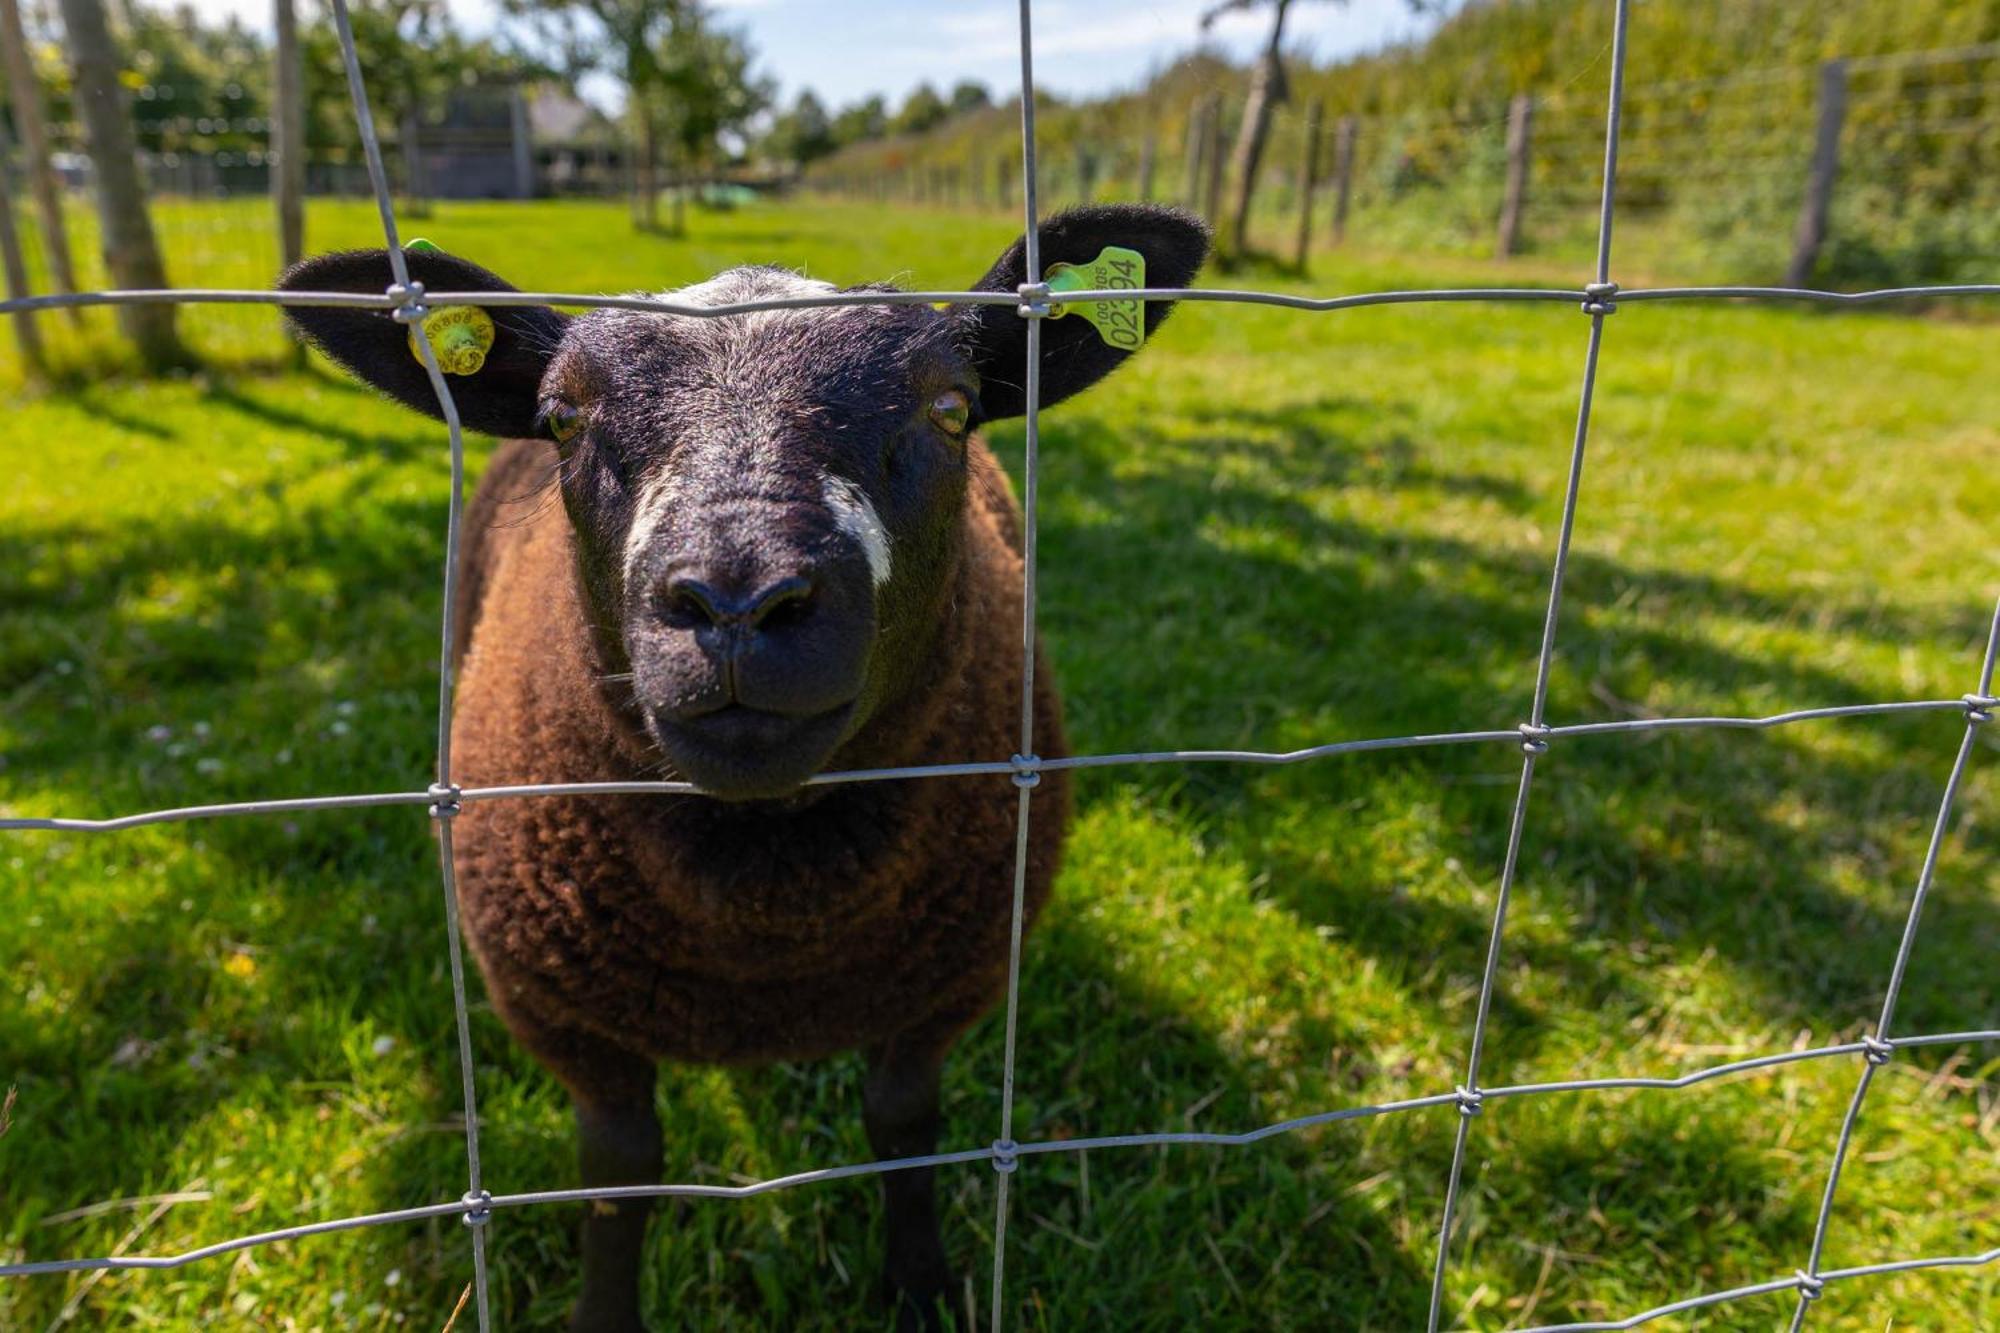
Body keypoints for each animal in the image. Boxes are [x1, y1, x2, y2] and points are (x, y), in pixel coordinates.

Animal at [280, 202, 1208, 1320]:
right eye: (562, 418)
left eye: (950, 409)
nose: (734, 602)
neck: (767, 919)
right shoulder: (559, 1009)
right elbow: (619, 1171)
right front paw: (605, 1312)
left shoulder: (952, 977)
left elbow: (903, 1123)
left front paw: (920, 1285)